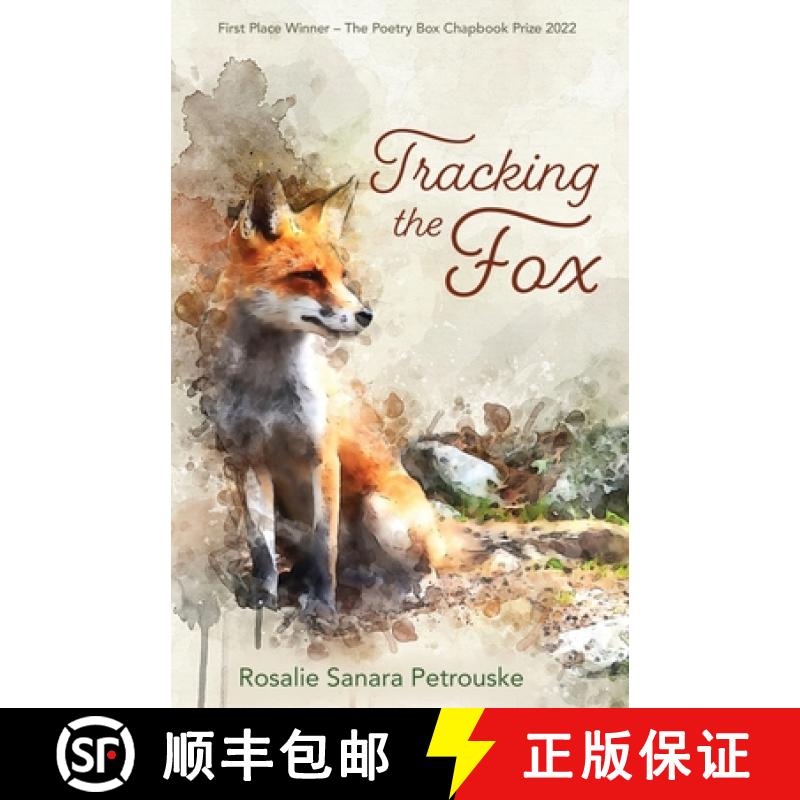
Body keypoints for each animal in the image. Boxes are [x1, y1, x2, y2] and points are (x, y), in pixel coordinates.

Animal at [204, 174, 457, 617]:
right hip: (294, 522)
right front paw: (265, 599)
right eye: (309, 275)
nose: (366, 315)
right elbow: (262, 549)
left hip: (381, 511)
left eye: (342, 275)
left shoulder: (322, 457)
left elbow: (327, 544)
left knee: (424, 563)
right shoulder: (249, 461)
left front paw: (323, 606)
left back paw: (410, 588)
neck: (268, 392)